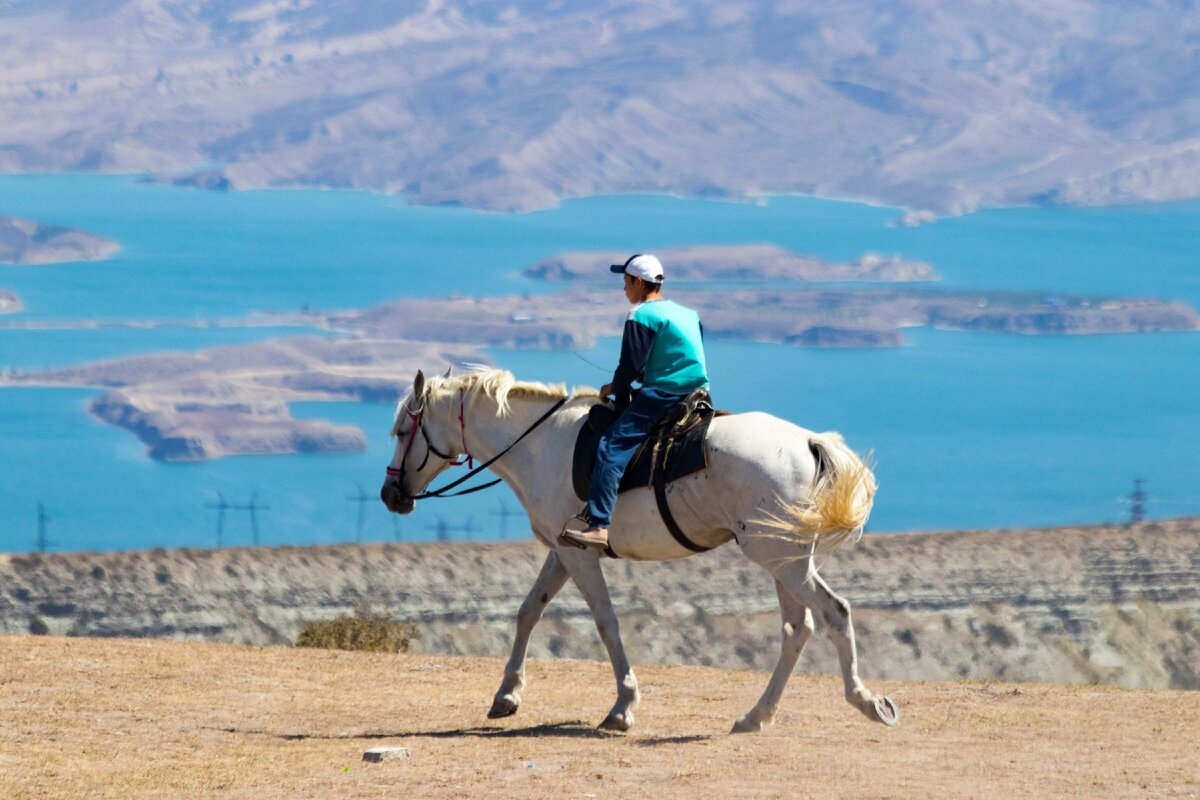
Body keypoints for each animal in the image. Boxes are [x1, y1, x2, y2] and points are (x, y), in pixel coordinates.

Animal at [379, 367, 897, 734]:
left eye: (403, 430)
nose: (390, 495)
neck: (541, 445)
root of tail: (809, 442)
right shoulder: (561, 552)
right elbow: (529, 612)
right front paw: (506, 696)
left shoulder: (580, 556)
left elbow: (606, 623)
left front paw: (623, 707)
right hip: (782, 560)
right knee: (797, 629)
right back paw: (755, 716)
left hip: (779, 558)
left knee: (833, 612)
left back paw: (867, 702)